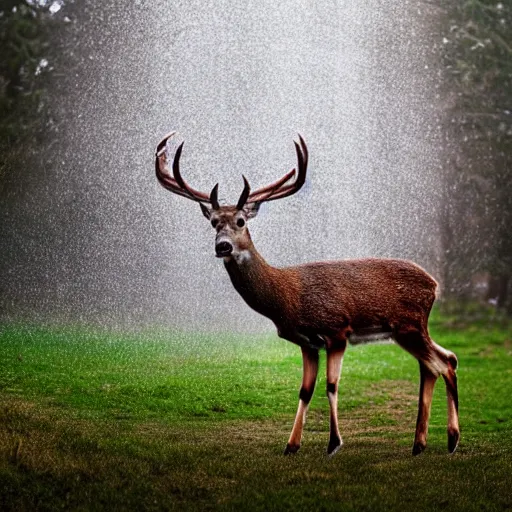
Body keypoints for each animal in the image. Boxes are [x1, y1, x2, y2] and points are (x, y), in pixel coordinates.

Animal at [155, 131, 460, 456]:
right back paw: (420, 443)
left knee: (442, 362)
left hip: (408, 324)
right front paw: (291, 445)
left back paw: (451, 440)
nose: (223, 246)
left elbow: (331, 385)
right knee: (441, 361)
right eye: (213, 223)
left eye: (241, 221)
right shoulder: (307, 341)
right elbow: (305, 390)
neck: (287, 300)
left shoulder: (337, 329)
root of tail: (434, 285)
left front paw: (334, 443)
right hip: (409, 329)